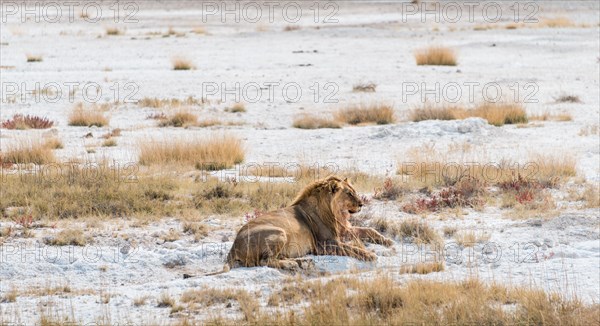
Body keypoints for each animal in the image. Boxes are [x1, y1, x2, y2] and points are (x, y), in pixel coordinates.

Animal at [206, 176, 394, 276]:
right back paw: (292, 265)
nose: (362, 204)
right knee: (265, 261)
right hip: (279, 232)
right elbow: (352, 248)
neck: (336, 213)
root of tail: (233, 246)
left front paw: (387, 241)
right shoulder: (325, 245)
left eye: (354, 191)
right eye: (349, 193)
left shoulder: (344, 231)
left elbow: (369, 230)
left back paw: (301, 261)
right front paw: (369, 254)